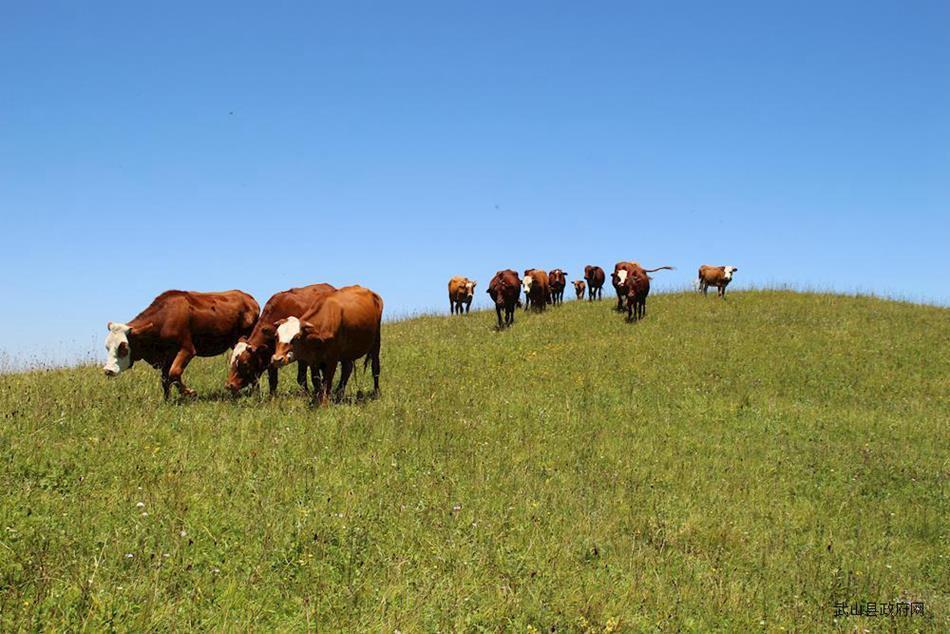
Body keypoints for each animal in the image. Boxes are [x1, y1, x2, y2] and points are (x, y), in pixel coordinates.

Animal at [104, 290, 259, 399]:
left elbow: (174, 373)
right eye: (107, 347)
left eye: (124, 348)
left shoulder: (187, 349)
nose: (108, 370)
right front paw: (167, 400)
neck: (164, 319)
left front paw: (189, 392)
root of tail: (249, 298)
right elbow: (165, 378)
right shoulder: (168, 355)